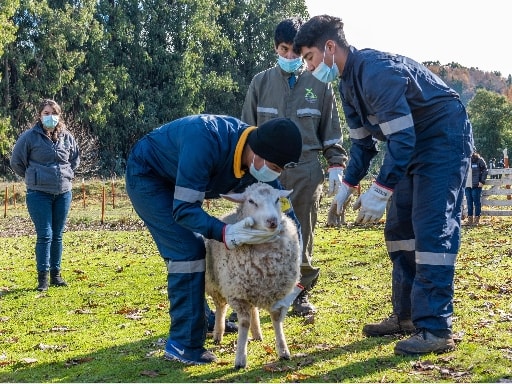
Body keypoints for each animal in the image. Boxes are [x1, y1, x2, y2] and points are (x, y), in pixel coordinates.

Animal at [204, 183, 300, 368]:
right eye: (251, 201)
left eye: (277, 199)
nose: (273, 221)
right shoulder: (238, 294)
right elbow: (243, 323)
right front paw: (240, 358)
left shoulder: (276, 290)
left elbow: (276, 318)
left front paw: (283, 350)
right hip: (216, 282)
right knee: (221, 307)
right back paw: (218, 333)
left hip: (253, 286)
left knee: (253, 309)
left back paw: (257, 334)